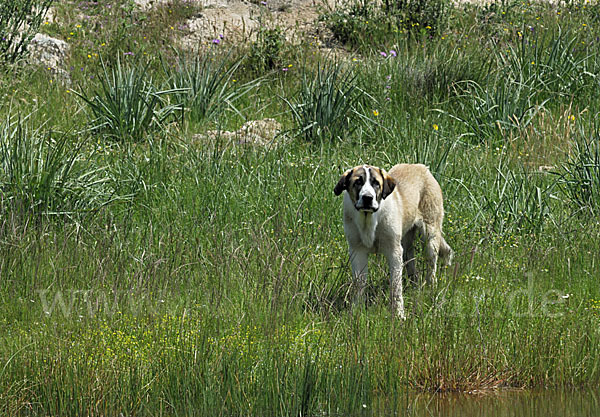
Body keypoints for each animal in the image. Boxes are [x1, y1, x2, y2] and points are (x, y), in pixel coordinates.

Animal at [332, 163, 454, 318]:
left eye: (376, 183)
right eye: (358, 182)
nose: (367, 198)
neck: (369, 219)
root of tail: (420, 166)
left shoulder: (394, 252)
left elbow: (395, 286)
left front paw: (399, 314)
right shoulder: (357, 252)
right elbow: (359, 284)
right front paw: (355, 311)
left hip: (430, 235)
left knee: (431, 266)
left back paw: (430, 289)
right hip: (406, 244)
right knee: (411, 263)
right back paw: (414, 285)